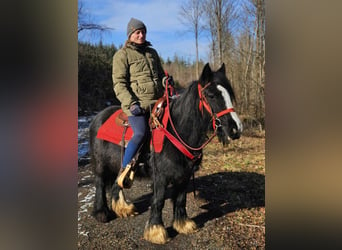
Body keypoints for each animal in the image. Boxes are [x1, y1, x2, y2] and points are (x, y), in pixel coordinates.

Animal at [88, 63, 243, 244]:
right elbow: (159, 201)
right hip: (100, 165)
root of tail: (98, 117)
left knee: (116, 183)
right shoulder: (161, 177)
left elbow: (181, 199)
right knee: (99, 184)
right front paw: (156, 231)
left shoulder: (184, 174)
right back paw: (101, 213)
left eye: (230, 94)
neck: (176, 131)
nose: (236, 129)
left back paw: (123, 208)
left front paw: (183, 224)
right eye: (211, 95)